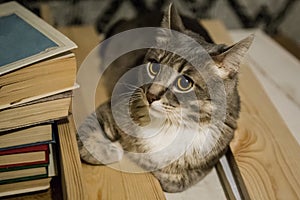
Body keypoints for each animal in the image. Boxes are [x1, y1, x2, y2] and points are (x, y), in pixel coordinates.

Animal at [76, 3, 252, 192]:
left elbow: (175, 181)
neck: (168, 124)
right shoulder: (112, 106)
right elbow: (85, 138)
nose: (150, 95)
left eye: (184, 82)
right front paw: (112, 150)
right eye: (154, 66)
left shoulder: (206, 162)